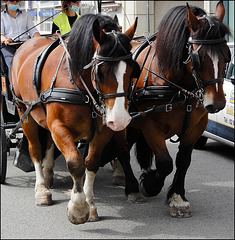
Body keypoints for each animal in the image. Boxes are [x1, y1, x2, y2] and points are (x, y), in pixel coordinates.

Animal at [10, 14, 140, 225]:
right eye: (101, 71)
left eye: (132, 69)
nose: (120, 120)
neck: (80, 84)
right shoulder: (59, 127)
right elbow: (76, 164)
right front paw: (78, 207)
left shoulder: (103, 130)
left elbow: (91, 162)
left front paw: (90, 204)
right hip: (25, 113)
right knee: (35, 150)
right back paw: (42, 189)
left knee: (48, 144)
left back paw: (48, 173)